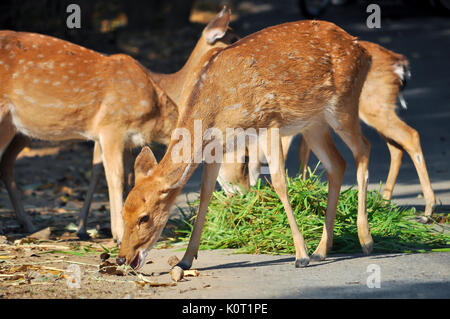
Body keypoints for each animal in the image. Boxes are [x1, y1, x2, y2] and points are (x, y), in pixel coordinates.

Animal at [0, 6, 236, 242]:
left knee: (7, 162)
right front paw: (117, 234)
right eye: (232, 39)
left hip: (21, 132)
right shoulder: (111, 127)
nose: (236, 197)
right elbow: (115, 176)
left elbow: (123, 175)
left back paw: (29, 225)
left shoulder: (125, 140)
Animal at [116, 19, 372, 270]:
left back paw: (365, 240)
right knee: (337, 164)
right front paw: (185, 260)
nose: (122, 258)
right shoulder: (216, 147)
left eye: (144, 217)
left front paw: (301, 255)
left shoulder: (269, 123)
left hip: (344, 103)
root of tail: (361, 49)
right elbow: (206, 193)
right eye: (123, 213)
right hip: (314, 123)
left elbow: (279, 182)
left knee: (363, 148)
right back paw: (322, 250)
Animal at [221, 40, 436, 218]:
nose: (238, 195)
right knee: (395, 146)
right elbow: (302, 153)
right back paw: (384, 203)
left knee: (410, 136)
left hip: (373, 107)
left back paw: (427, 210)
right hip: (376, 110)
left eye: (243, 161)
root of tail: (399, 63)